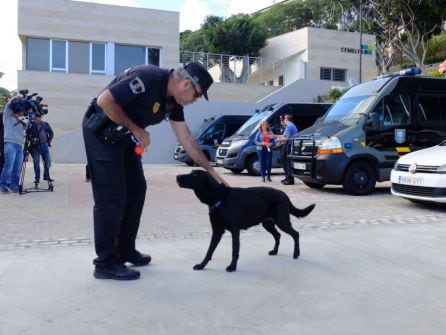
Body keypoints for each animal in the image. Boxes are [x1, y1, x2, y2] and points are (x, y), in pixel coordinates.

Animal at [176, 171, 316, 272]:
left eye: (194, 175)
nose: (177, 177)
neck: (220, 198)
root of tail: (283, 194)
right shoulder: (217, 230)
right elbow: (209, 250)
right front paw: (201, 265)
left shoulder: (234, 230)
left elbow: (234, 250)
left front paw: (232, 267)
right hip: (267, 223)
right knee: (278, 235)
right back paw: (274, 251)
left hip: (281, 221)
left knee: (295, 234)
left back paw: (296, 253)